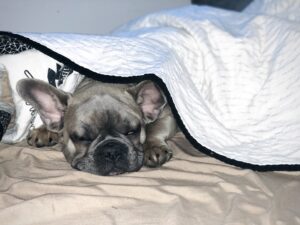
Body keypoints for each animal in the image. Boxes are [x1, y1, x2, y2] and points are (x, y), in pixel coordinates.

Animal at [17, 77, 178, 176]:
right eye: (82, 138)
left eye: (132, 131)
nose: (112, 151)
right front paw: (43, 130)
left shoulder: (168, 116)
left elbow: (154, 128)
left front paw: (153, 147)